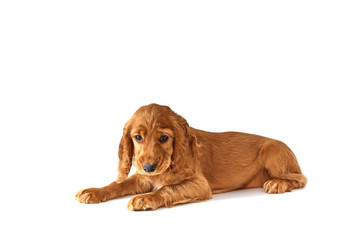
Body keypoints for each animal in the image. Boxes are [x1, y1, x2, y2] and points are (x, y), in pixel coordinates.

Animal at [75, 103, 306, 210]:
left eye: (164, 138)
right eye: (138, 137)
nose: (149, 167)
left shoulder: (199, 184)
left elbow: (166, 189)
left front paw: (145, 199)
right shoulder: (144, 177)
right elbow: (118, 184)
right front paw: (93, 191)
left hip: (272, 152)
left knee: (300, 178)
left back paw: (277, 183)